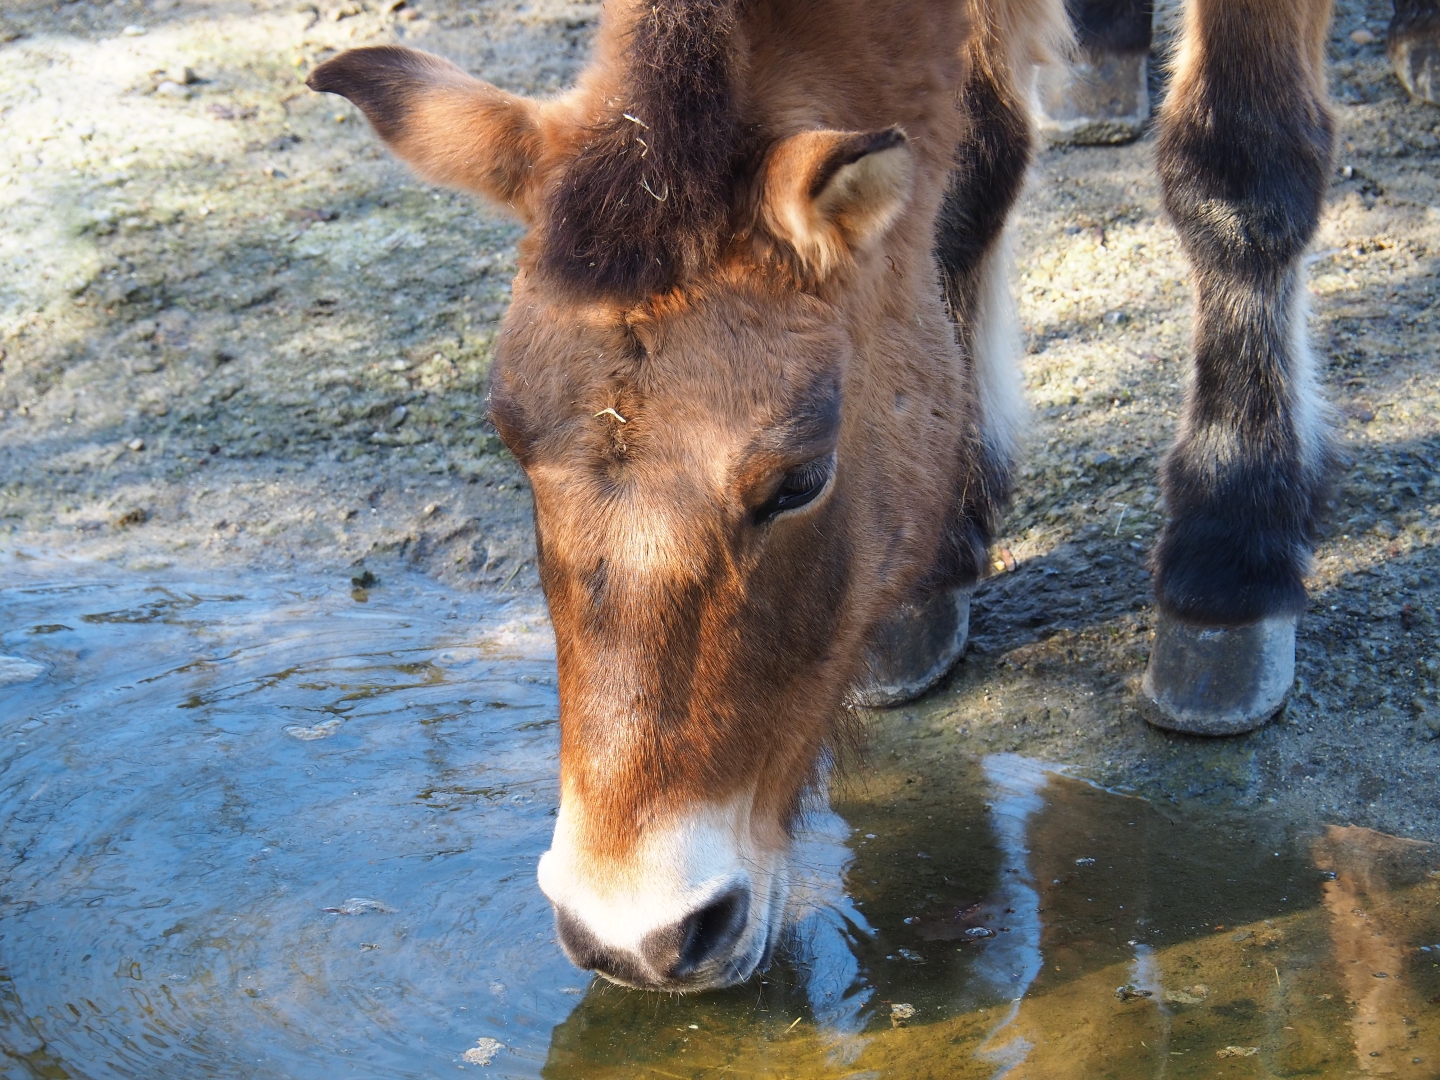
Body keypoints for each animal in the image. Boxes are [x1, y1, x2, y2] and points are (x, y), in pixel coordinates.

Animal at [307, 0, 1337, 991]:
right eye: (509, 441)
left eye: (799, 479)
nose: (631, 935)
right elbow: (969, 174)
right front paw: (941, 562)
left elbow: (1240, 166)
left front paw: (1232, 563)